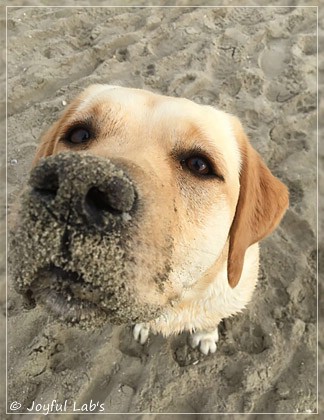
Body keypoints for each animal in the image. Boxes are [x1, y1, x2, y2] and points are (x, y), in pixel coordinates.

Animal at [10, 84, 288, 354]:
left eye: (199, 164)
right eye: (79, 135)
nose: (74, 185)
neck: (177, 305)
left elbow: (209, 321)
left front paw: (206, 335)